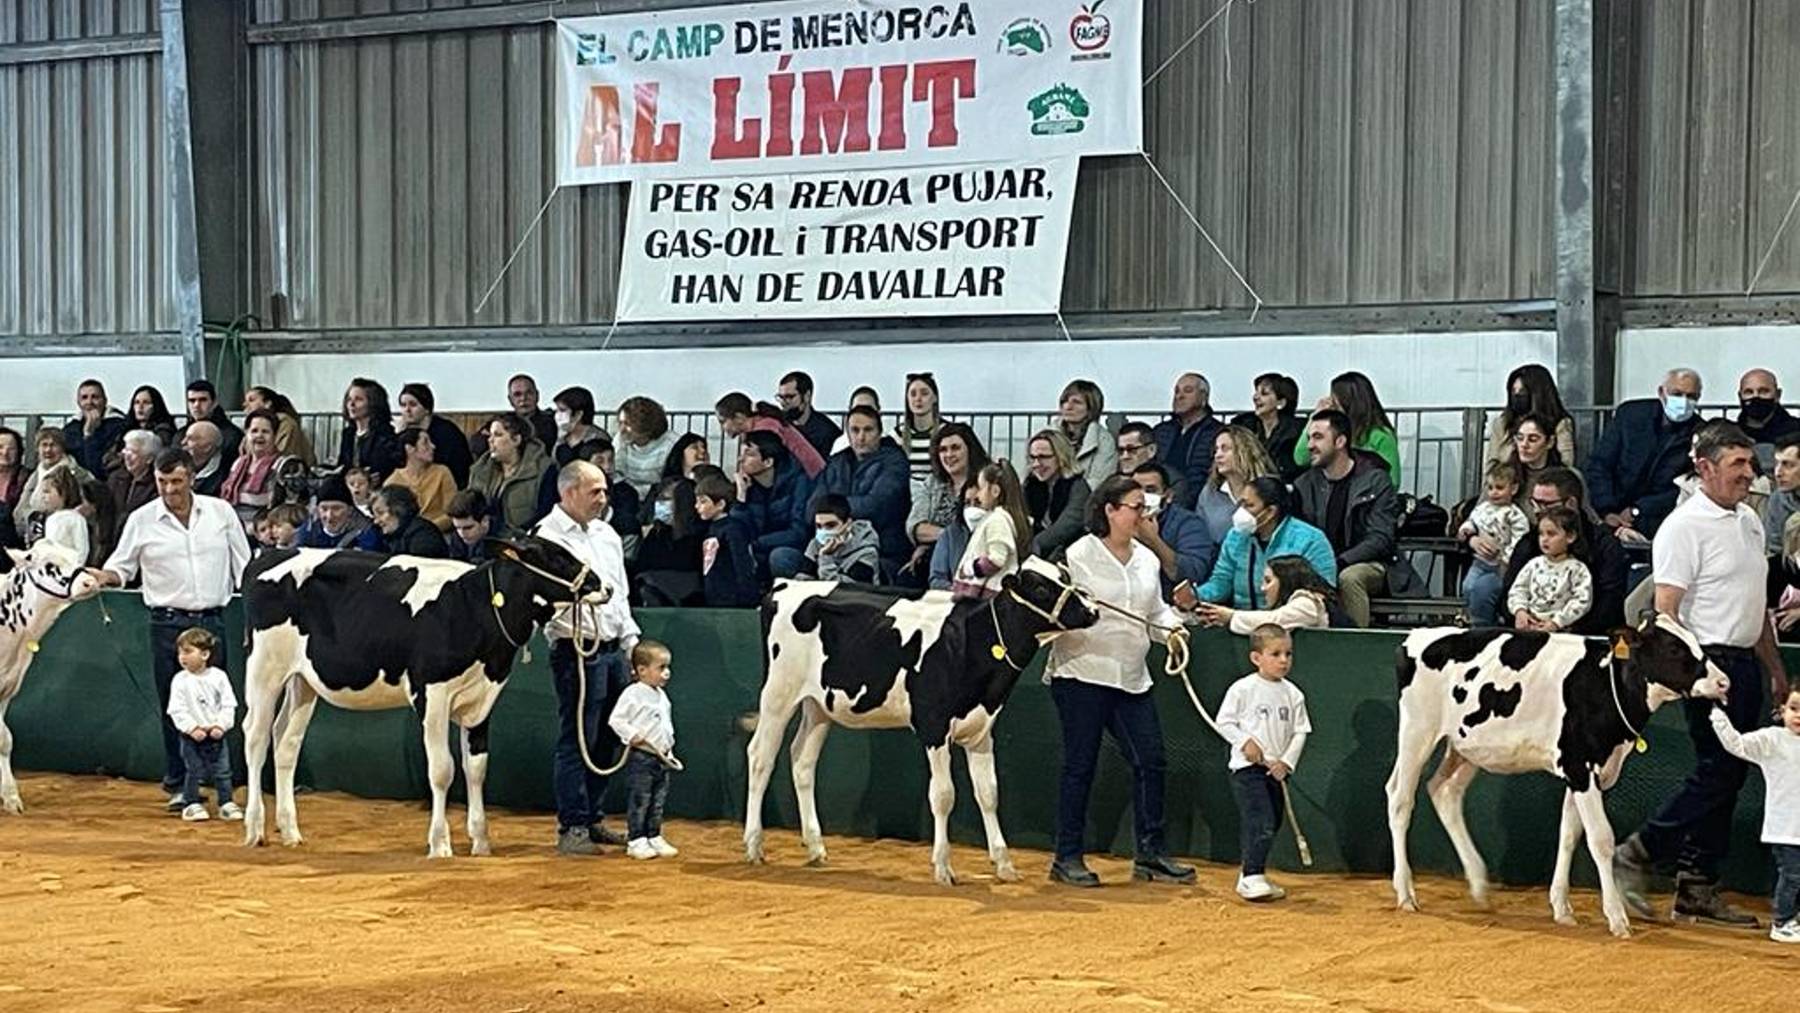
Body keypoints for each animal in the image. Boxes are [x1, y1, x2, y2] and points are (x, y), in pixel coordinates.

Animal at [0, 546, 103, 816]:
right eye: (49, 565)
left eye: (76, 557)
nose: (89, 582)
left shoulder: (6, 691)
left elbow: (5, 740)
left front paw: (10, 797)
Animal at [243, 539, 608, 856]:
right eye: (555, 556)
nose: (604, 586)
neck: (473, 607)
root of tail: (271, 553)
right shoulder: (432, 695)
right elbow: (442, 769)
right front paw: (440, 844)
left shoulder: (482, 700)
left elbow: (476, 769)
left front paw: (481, 841)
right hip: (264, 669)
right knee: (256, 737)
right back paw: (255, 829)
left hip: (302, 681)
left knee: (286, 742)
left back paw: (290, 831)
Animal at [745, 557, 1094, 885]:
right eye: (1040, 588)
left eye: (1065, 577)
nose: (1091, 610)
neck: (972, 641)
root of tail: (785, 585)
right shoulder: (934, 727)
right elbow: (943, 795)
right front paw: (943, 866)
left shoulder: (981, 731)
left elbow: (989, 793)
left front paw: (1004, 864)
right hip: (778, 694)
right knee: (761, 757)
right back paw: (753, 845)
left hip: (819, 705)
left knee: (802, 760)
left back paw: (816, 847)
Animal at [1382, 615, 1735, 942]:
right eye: (1674, 647)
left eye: (1695, 640)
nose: (1724, 682)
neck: (1605, 685)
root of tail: (1418, 635)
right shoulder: (1580, 767)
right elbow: (1601, 839)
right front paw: (1617, 918)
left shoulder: (1588, 773)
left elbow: (1569, 834)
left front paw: (1563, 909)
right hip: (1417, 732)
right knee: (1400, 798)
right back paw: (1406, 893)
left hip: (1465, 747)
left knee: (1444, 791)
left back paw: (1479, 884)